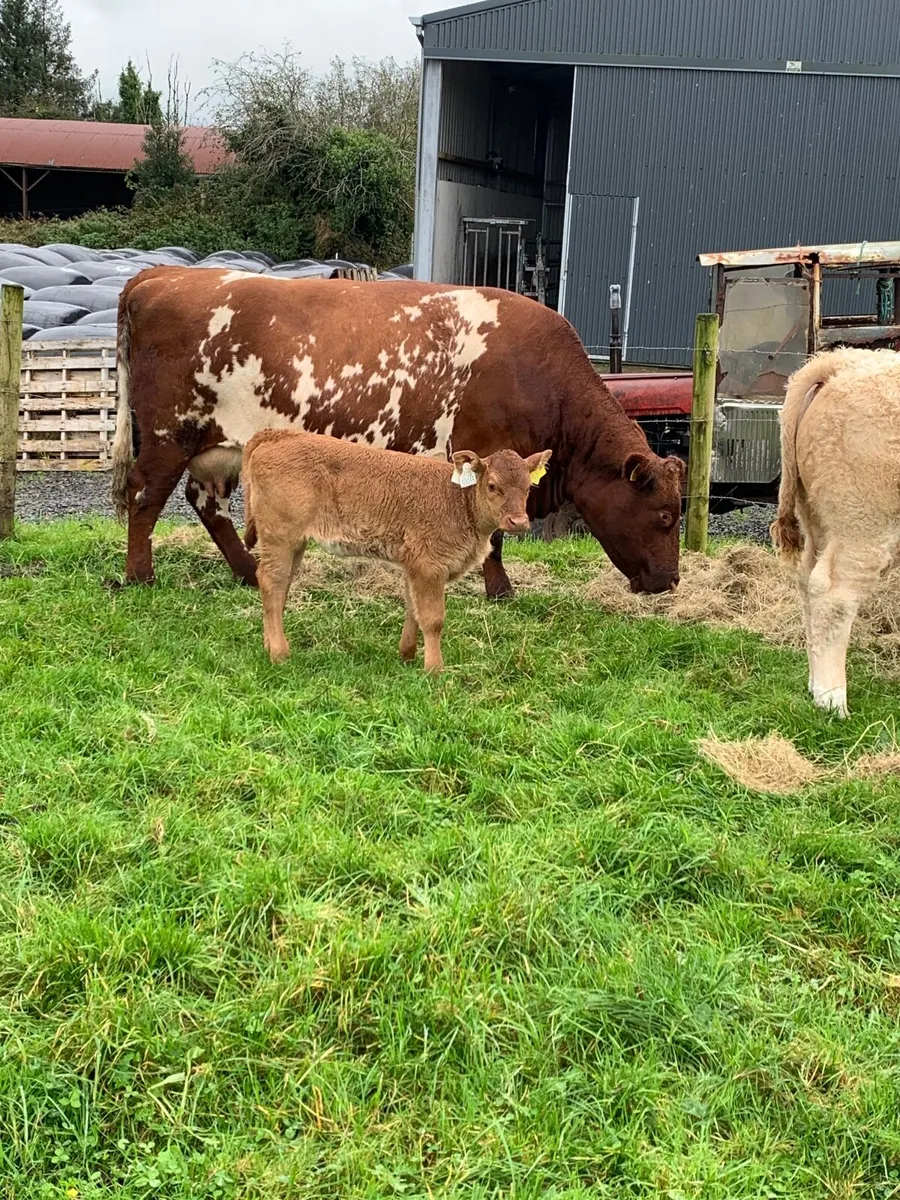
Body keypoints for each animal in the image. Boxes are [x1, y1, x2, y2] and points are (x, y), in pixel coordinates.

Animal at [112, 269, 685, 596]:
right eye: (663, 515)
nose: (671, 581)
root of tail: (161, 277)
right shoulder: (491, 457)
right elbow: (495, 535)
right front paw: (500, 589)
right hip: (170, 433)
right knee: (144, 496)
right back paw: (140, 576)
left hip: (219, 447)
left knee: (206, 504)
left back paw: (249, 573)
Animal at [242, 429, 551, 671]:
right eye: (492, 485)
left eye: (528, 487)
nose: (519, 522)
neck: (457, 499)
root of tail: (277, 434)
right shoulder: (429, 566)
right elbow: (433, 619)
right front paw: (435, 669)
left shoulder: (414, 566)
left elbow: (413, 608)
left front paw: (408, 655)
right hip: (280, 536)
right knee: (271, 582)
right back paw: (280, 653)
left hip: (295, 542)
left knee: (280, 586)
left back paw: (269, 645)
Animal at [772, 347, 900, 717]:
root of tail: (842, 362)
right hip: (862, 520)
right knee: (835, 597)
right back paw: (832, 699)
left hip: (818, 517)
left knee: (808, 582)